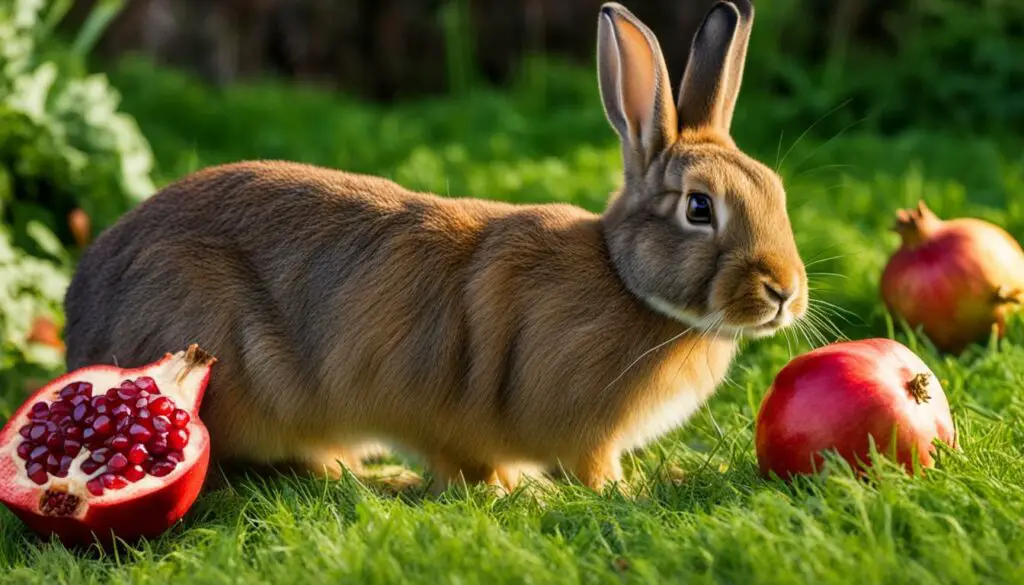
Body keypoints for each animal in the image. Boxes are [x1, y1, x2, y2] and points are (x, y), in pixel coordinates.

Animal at [61, 0, 806, 495]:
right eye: (699, 208)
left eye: (777, 191)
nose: (785, 292)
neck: (628, 284)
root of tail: (82, 322)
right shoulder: (573, 432)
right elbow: (571, 469)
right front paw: (587, 492)